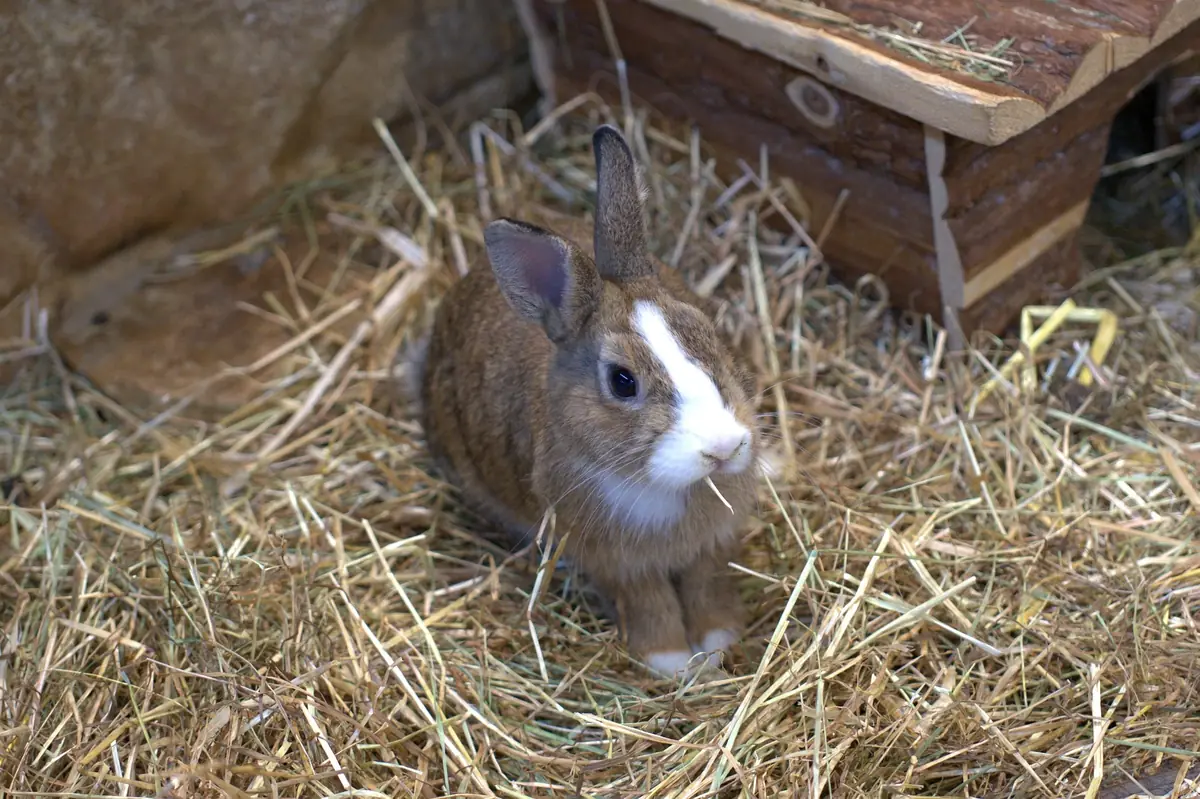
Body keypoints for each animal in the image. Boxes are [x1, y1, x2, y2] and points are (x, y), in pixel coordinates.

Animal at [419, 124, 760, 678]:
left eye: (707, 330)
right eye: (622, 382)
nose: (724, 448)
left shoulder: (710, 547)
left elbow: (707, 588)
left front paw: (717, 645)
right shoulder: (617, 563)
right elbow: (649, 604)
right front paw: (672, 663)